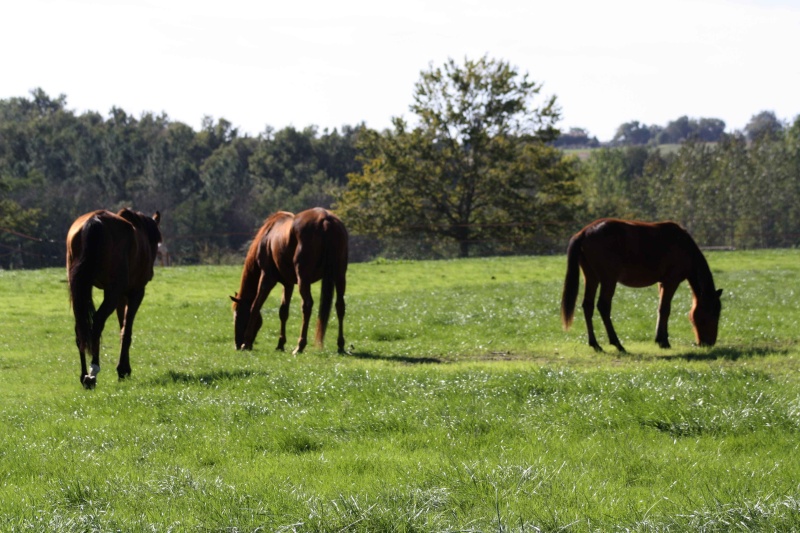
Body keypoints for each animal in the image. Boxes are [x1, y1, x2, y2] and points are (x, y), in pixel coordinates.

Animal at [66, 208, 162, 386]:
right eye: (156, 242)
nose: (151, 273)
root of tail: (95, 221)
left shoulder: (120, 297)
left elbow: (121, 327)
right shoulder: (135, 293)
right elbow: (127, 330)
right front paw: (123, 369)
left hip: (82, 290)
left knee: (80, 328)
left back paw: (84, 375)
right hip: (114, 293)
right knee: (97, 322)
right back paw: (93, 371)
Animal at [228, 207, 346, 354]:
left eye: (237, 316)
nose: (237, 345)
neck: (267, 236)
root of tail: (325, 220)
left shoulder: (267, 278)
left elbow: (256, 305)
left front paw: (247, 342)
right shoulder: (288, 284)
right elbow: (283, 312)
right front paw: (280, 344)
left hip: (303, 279)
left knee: (307, 305)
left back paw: (300, 345)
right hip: (340, 276)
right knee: (340, 306)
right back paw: (341, 345)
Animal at [560, 218, 720, 352]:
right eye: (711, 315)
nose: (708, 343)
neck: (684, 245)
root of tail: (584, 232)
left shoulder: (662, 283)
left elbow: (660, 309)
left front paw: (660, 338)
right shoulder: (671, 281)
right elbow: (665, 309)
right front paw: (664, 341)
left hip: (592, 277)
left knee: (588, 306)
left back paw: (595, 344)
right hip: (608, 279)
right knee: (603, 306)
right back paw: (617, 343)